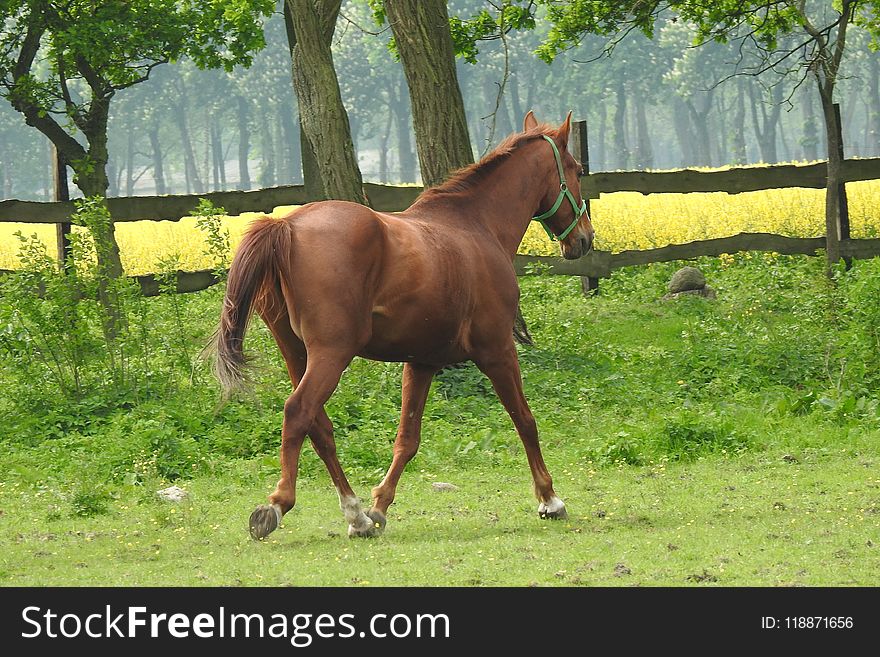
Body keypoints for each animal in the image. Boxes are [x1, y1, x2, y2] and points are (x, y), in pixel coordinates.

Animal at [216, 110, 596, 536]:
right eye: (577, 169)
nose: (584, 239)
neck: (476, 226)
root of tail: (288, 226)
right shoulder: (497, 350)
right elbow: (525, 420)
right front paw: (550, 499)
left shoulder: (422, 362)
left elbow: (407, 439)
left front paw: (380, 507)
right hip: (331, 353)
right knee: (299, 412)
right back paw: (277, 505)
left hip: (296, 354)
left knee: (319, 426)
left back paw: (357, 515)